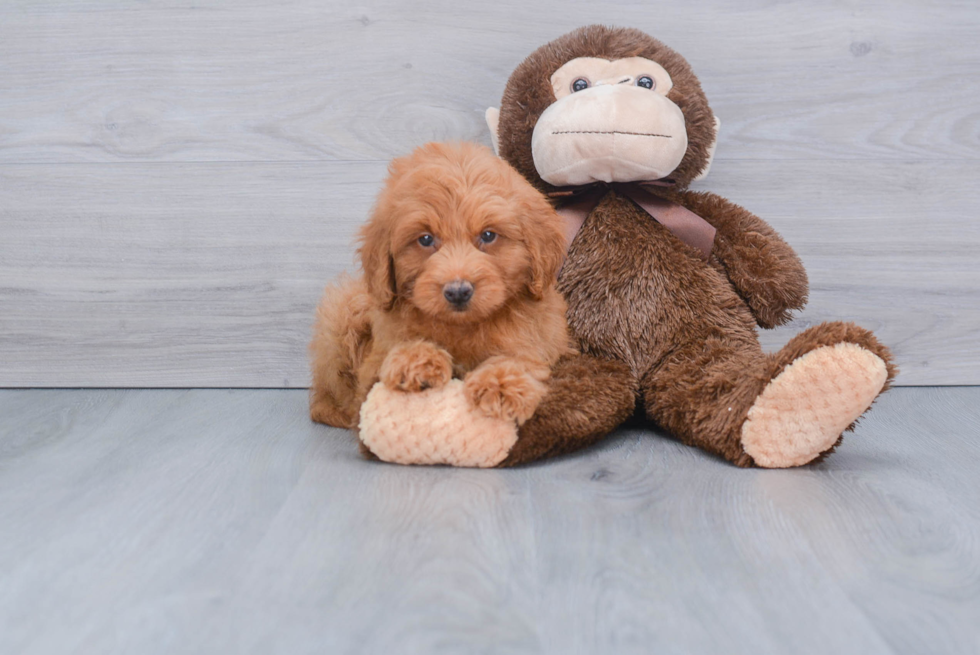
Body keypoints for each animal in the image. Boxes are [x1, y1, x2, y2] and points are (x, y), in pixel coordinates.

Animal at [310, 142, 572, 430]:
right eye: (425, 239)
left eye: (488, 235)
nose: (458, 291)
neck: (462, 327)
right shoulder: (374, 360)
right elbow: (391, 355)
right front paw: (415, 360)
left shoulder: (540, 338)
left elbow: (522, 357)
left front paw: (500, 384)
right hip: (343, 310)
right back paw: (330, 410)